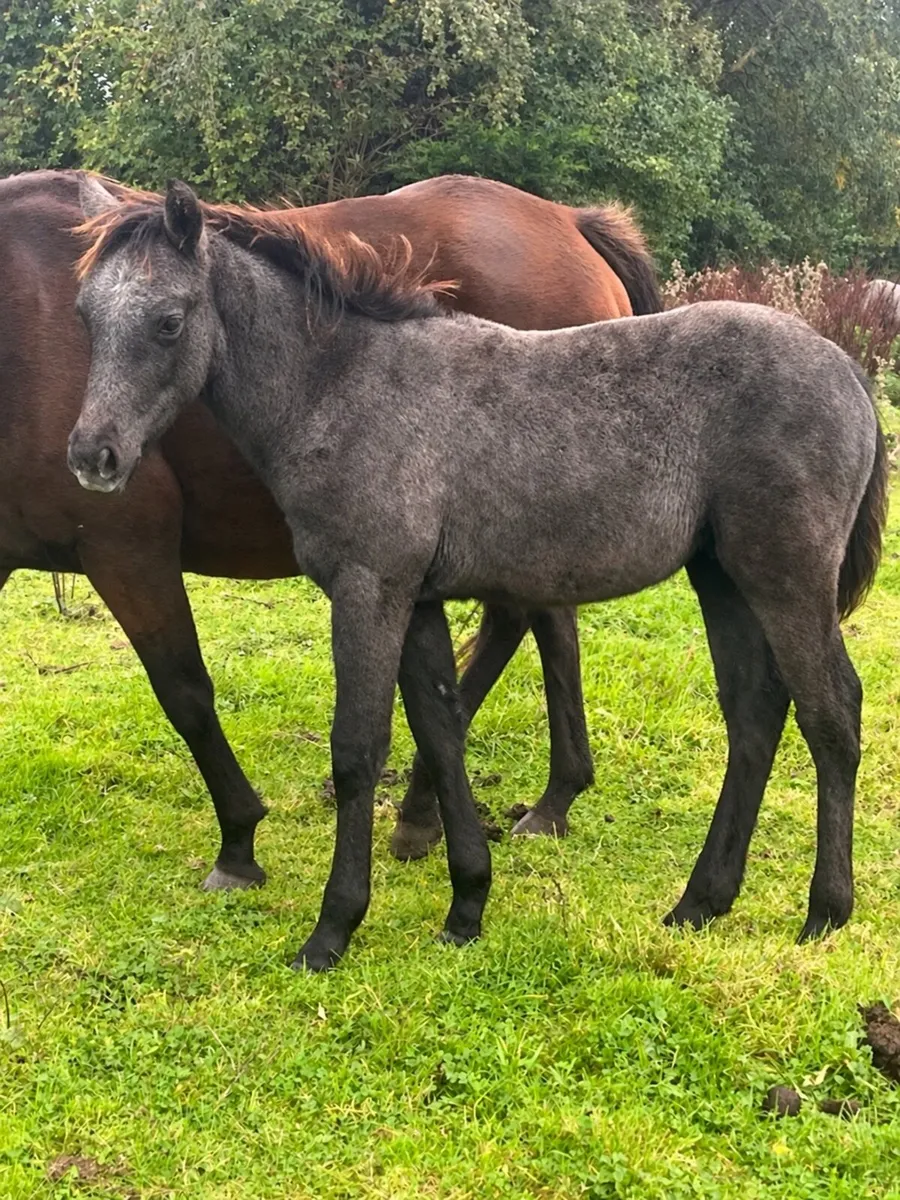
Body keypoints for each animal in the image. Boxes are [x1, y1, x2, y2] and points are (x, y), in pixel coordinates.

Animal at [0, 168, 662, 890]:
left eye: (169, 324)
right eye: (82, 319)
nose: (92, 456)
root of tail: (571, 223)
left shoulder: (126, 548)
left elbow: (187, 694)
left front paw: (238, 843)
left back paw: (441, 808)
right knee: (541, 629)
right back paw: (532, 799)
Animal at [68, 179, 887, 971]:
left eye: (168, 322)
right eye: (84, 315)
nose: (91, 456)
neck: (341, 387)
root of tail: (848, 370)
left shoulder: (368, 589)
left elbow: (358, 750)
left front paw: (332, 931)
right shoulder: (417, 599)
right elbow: (439, 730)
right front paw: (465, 907)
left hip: (786, 578)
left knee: (832, 710)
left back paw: (825, 911)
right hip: (721, 577)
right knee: (754, 711)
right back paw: (701, 902)